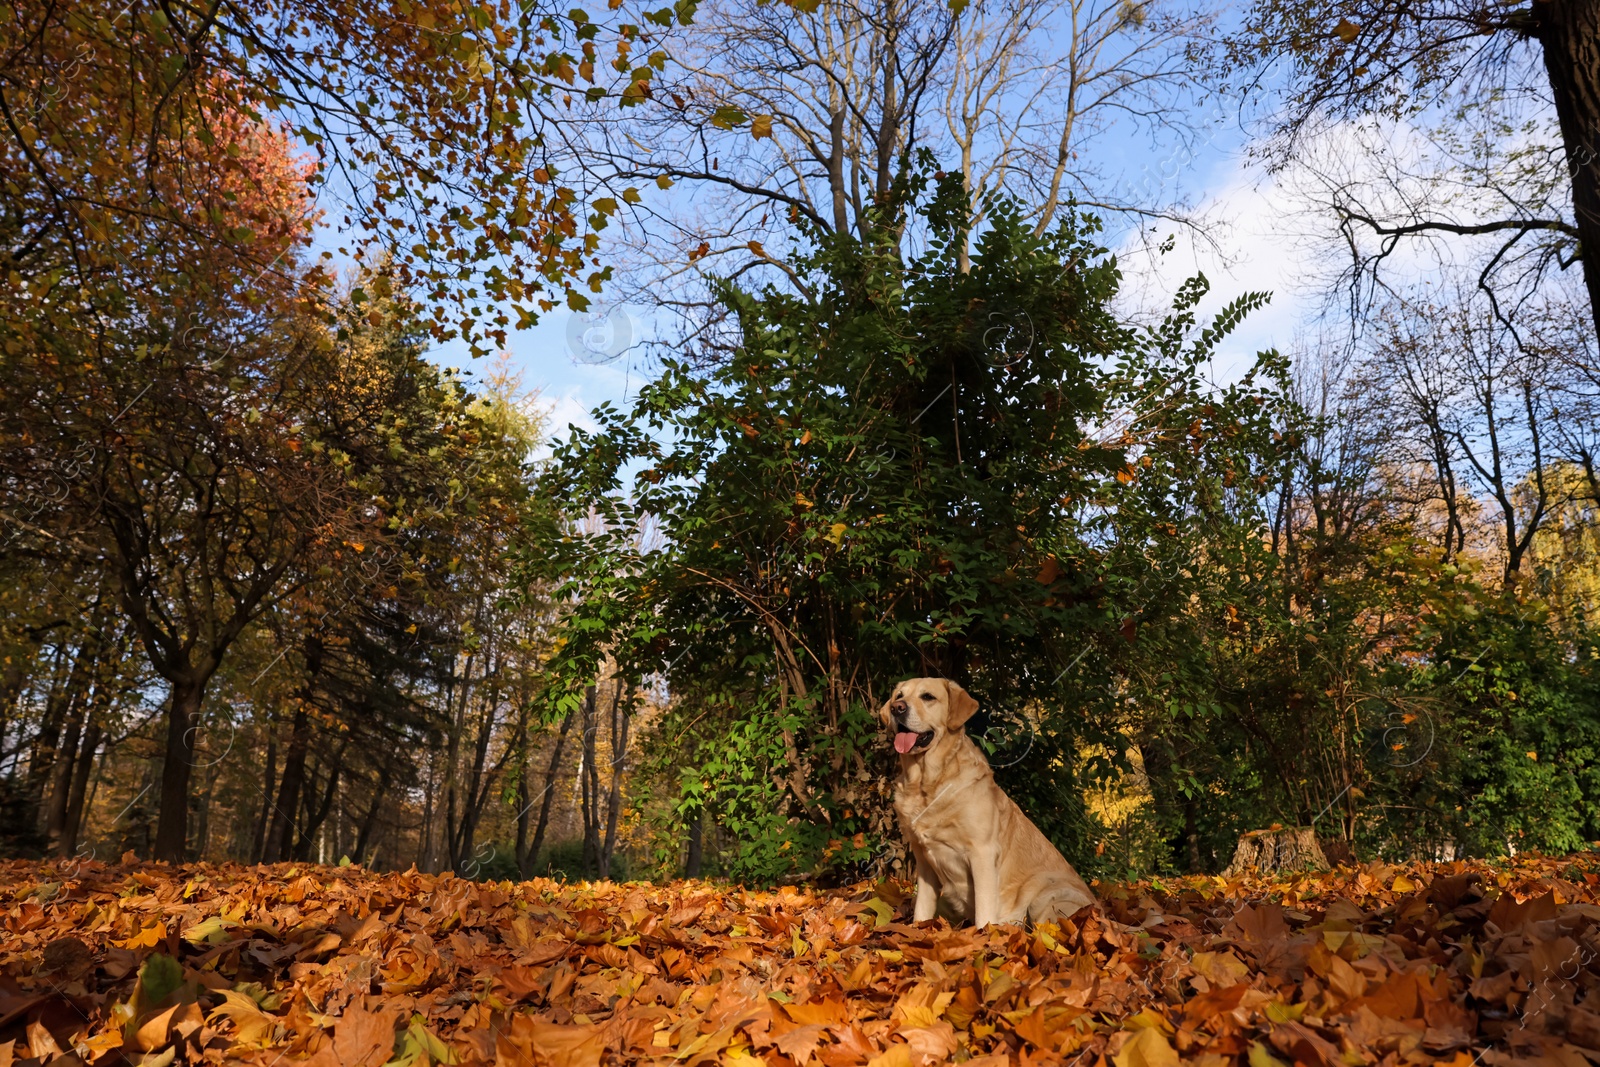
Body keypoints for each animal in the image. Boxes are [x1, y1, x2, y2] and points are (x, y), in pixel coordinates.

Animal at [883, 684, 1094, 927]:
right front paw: (918, 929)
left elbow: (984, 911)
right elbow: (922, 908)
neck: (926, 783)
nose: (897, 708)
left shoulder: (982, 852)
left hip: (1045, 895)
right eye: (899, 696)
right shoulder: (924, 860)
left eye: (928, 697)